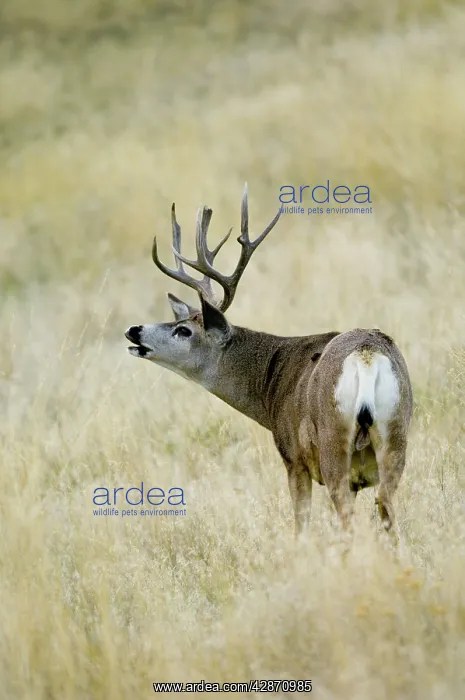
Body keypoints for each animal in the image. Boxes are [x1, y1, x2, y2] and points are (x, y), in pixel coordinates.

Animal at [125, 185, 413, 536]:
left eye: (183, 330)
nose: (134, 330)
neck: (271, 385)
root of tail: (367, 354)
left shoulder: (293, 456)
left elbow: (300, 525)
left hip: (333, 442)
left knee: (348, 516)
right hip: (395, 435)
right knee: (386, 508)